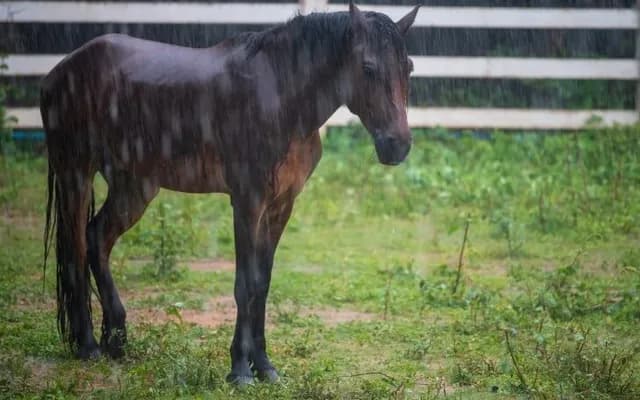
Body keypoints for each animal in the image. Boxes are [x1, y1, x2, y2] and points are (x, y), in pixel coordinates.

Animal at [41, 1, 419, 385]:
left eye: (409, 67)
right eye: (368, 68)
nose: (398, 146)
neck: (281, 97)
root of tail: (60, 70)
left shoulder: (281, 206)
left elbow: (262, 284)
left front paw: (264, 366)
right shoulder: (247, 202)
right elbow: (244, 284)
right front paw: (239, 369)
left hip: (134, 188)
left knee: (97, 239)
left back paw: (116, 341)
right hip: (75, 174)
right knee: (75, 250)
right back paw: (88, 346)